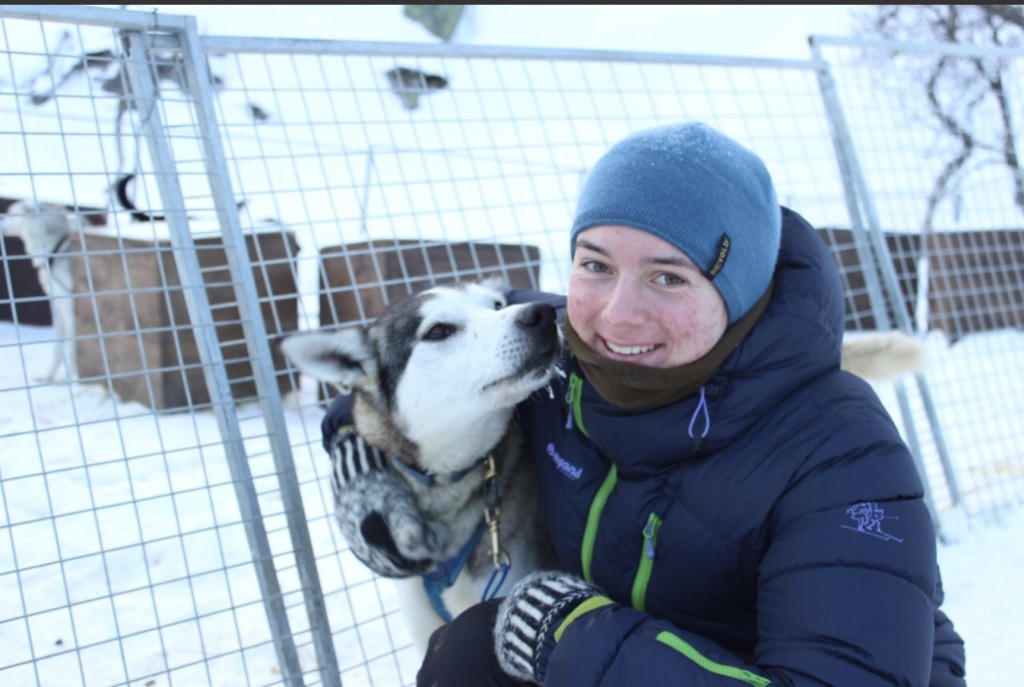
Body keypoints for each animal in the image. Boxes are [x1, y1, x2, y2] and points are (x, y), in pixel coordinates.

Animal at [3, 200, 81, 381]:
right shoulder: (57, 308)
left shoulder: (71, 310)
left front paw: (70, 377)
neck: (57, 252)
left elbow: (71, 347)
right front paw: (48, 376)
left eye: (10, 214)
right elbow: (57, 348)